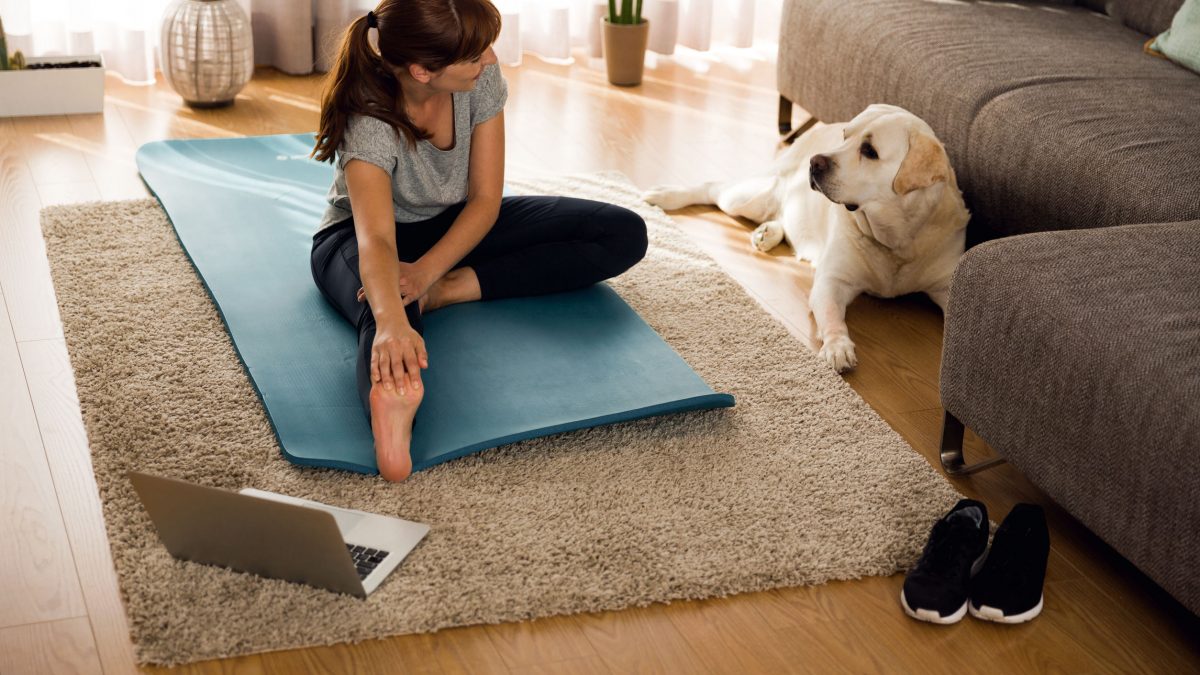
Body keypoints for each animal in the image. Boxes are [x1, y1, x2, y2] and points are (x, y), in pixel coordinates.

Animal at [643, 102, 969, 369]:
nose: (815, 162)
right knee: (713, 187)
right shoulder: (832, 281)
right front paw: (838, 346)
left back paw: (767, 233)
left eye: (870, 151)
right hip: (748, 197)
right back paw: (665, 196)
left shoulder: (946, 285)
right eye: (846, 136)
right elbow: (834, 317)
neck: (895, 237)